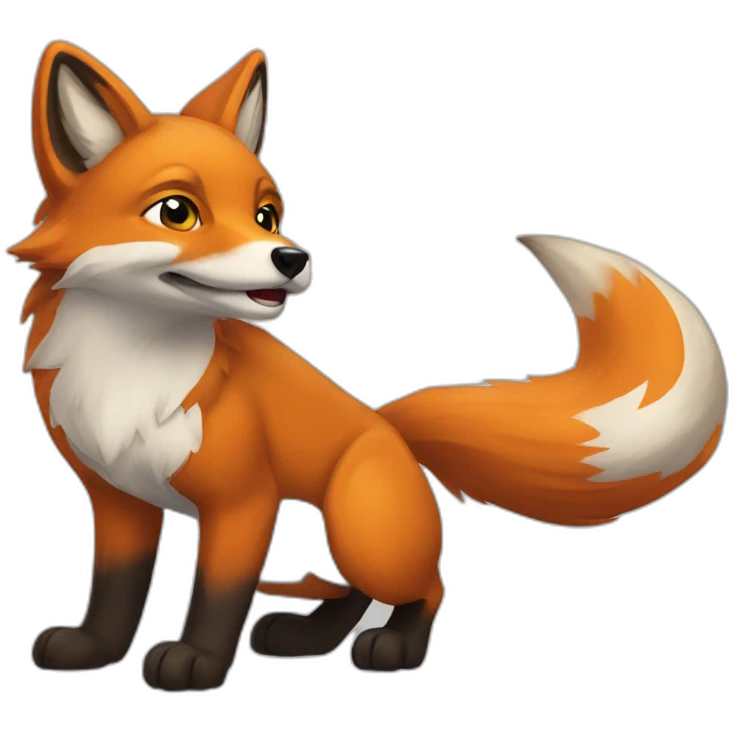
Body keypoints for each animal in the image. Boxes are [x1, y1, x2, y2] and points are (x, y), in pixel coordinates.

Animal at [11, 41, 727, 692]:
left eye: (266, 213)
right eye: (177, 211)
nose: (291, 257)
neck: (132, 364)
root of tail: (391, 428)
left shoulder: (244, 504)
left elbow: (217, 594)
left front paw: (197, 664)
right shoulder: (118, 500)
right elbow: (115, 589)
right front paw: (94, 650)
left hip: (363, 528)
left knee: (429, 586)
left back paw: (394, 650)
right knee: (352, 592)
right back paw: (304, 639)